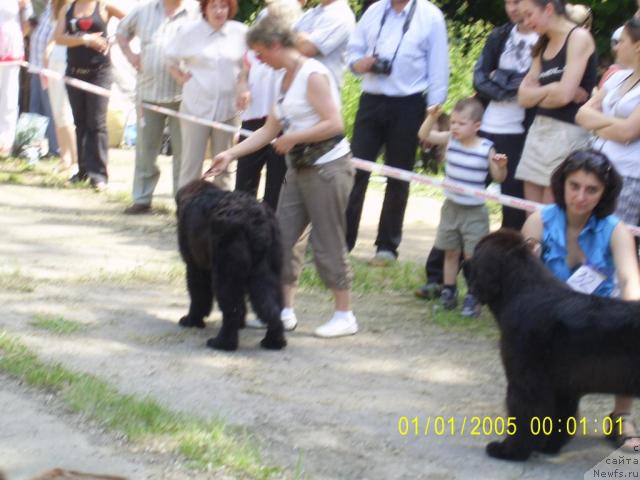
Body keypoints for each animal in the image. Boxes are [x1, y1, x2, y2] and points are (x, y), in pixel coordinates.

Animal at [175, 178, 284, 350]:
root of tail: (256, 222)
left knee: (232, 309)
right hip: (267, 271)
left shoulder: (195, 267)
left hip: (225, 273)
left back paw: (222, 342)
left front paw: (192, 320)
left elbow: (198, 295)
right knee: (273, 306)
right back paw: (273, 341)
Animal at [464, 229, 640, 462]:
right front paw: (548, 446)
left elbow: (524, 414)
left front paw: (510, 450)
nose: (463, 264)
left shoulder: (526, 380)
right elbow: (558, 419)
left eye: (476, 253)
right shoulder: (563, 388)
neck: (520, 293)